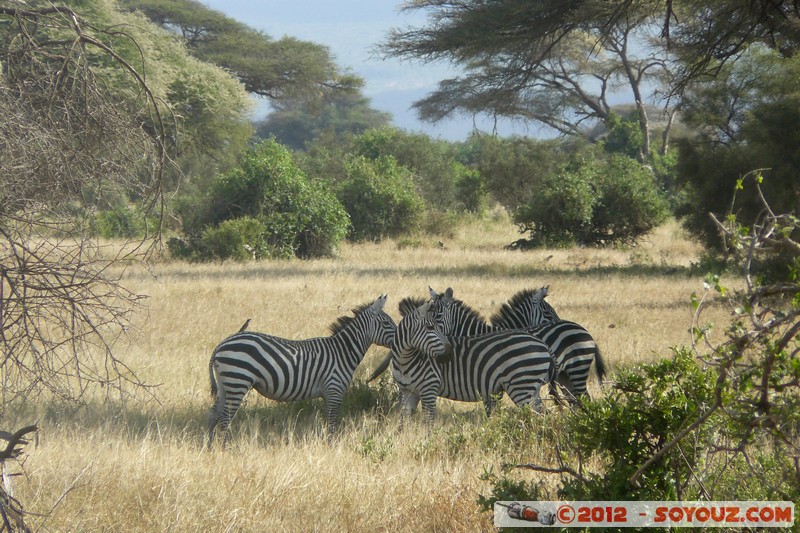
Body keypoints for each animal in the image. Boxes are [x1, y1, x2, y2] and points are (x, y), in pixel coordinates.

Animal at [206, 296, 394, 444]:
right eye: (386, 323)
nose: (399, 337)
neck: (342, 352)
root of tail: (221, 345)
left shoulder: (328, 394)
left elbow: (328, 421)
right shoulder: (334, 390)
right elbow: (332, 422)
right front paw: (331, 446)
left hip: (226, 384)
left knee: (214, 413)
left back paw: (209, 447)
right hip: (238, 380)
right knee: (225, 416)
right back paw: (227, 447)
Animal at [382, 290, 556, 424]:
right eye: (430, 327)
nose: (449, 352)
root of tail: (543, 345)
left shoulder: (429, 389)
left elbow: (427, 423)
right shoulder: (409, 392)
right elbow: (404, 423)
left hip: (521, 387)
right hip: (531, 389)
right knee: (543, 415)